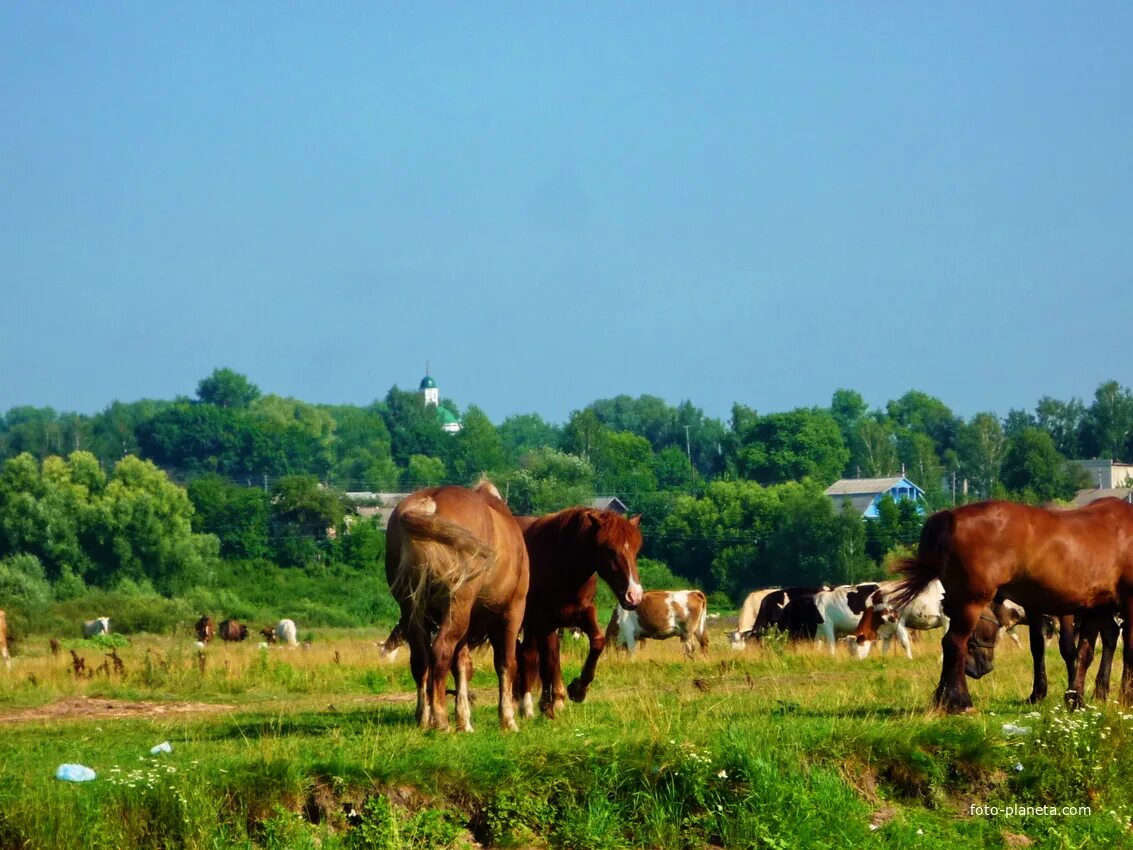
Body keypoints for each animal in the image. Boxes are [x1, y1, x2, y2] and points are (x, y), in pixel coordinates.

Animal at [385, 482, 530, 734]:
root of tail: (429, 503)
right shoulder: (511, 613)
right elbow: (506, 663)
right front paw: (507, 719)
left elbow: (462, 666)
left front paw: (464, 719)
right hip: (457, 607)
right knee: (440, 652)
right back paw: (440, 719)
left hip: (415, 610)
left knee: (420, 659)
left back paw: (424, 717)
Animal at [516, 510, 643, 720]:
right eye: (609, 550)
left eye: (635, 550)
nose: (634, 595)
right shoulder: (544, 621)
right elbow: (547, 661)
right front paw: (550, 706)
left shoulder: (580, 613)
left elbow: (597, 642)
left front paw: (578, 689)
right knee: (527, 655)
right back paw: (527, 705)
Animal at [888, 496, 1133, 716]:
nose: (977, 670)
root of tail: (951, 516)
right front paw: (1126, 698)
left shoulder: (1094, 607)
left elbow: (1084, 652)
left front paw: (1075, 699)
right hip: (970, 602)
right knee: (955, 643)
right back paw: (961, 702)